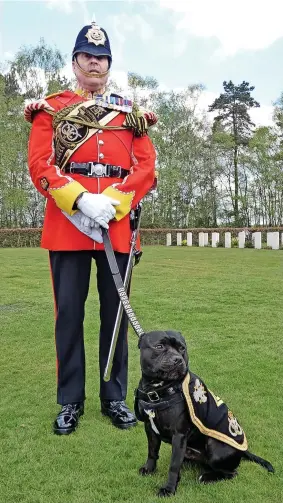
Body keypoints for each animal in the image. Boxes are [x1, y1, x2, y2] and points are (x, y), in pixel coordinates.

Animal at [135, 332, 276, 498]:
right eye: (159, 346)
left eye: (182, 348)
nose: (178, 359)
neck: (159, 389)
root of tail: (242, 451)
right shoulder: (149, 428)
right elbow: (152, 451)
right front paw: (149, 469)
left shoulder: (179, 435)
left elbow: (173, 466)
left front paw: (169, 489)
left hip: (214, 447)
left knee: (231, 472)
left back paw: (206, 477)